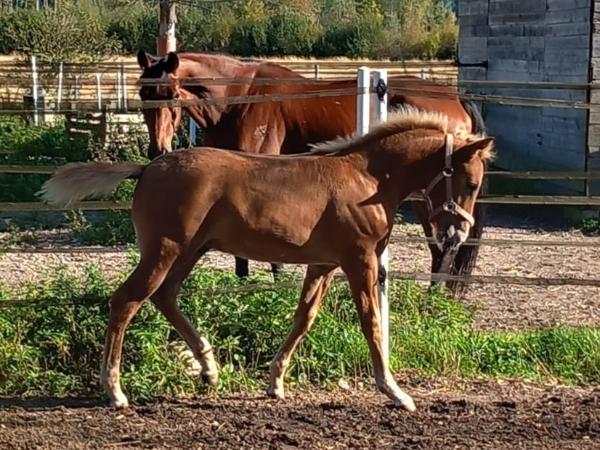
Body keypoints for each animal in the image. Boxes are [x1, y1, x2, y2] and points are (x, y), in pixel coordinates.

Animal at [40, 108, 494, 411]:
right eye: (471, 182)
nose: (456, 235)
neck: (368, 179)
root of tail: (147, 168)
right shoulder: (359, 260)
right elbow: (371, 323)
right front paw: (395, 391)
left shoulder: (323, 264)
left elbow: (304, 318)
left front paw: (275, 383)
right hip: (166, 248)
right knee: (127, 300)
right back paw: (115, 391)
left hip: (190, 251)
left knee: (164, 297)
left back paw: (209, 369)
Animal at [136, 50, 487, 296]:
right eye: (143, 95)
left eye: (172, 95)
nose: (158, 150)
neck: (240, 98)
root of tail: (456, 97)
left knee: (444, 246)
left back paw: (434, 296)